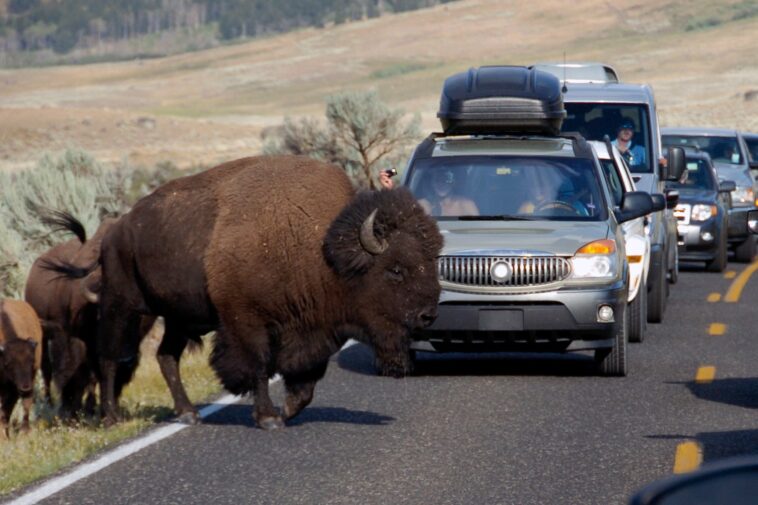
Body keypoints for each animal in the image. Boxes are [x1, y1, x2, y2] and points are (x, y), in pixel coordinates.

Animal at [0, 299, 42, 437]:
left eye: (32, 360)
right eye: (8, 363)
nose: (25, 386)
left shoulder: (13, 389)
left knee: (26, 403)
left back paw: (24, 431)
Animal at [52, 155, 442, 429]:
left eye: (431, 261)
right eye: (395, 269)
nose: (428, 314)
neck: (321, 250)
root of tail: (116, 230)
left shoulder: (312, 331)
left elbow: (306, 381)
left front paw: (287, 411)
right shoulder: (246, 322)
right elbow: (259, 367)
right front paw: (269, 417)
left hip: (178, 318)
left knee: (166, 356)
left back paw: (188, 413)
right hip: (123, 307)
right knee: (108, 357)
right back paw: (111, 417)